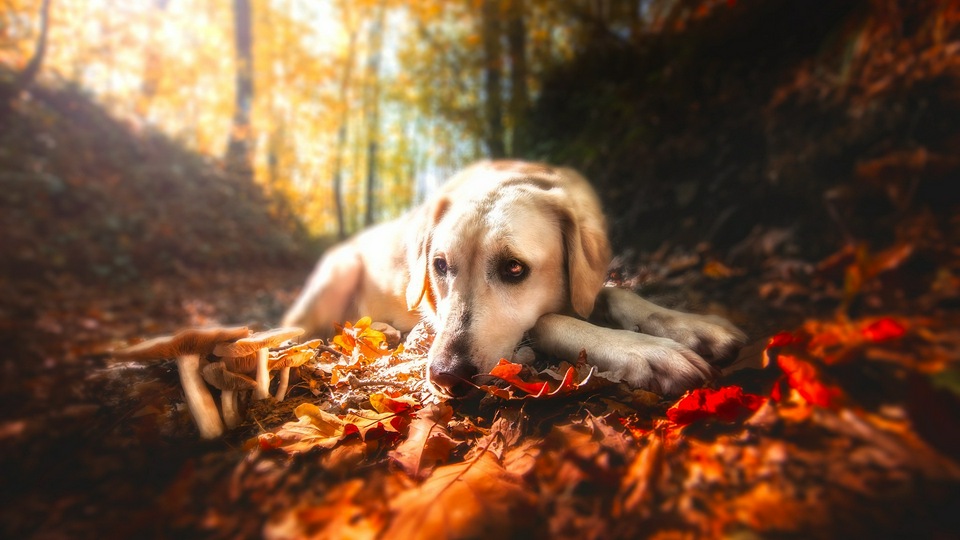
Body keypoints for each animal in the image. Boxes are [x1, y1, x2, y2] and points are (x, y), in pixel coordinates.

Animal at [282, 160, 748, 396]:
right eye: (439, 265)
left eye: (514, 268)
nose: (446, 375)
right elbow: (550, 320)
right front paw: (649, 352)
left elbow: (617, 294)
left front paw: (693, 326)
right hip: (337, 274)